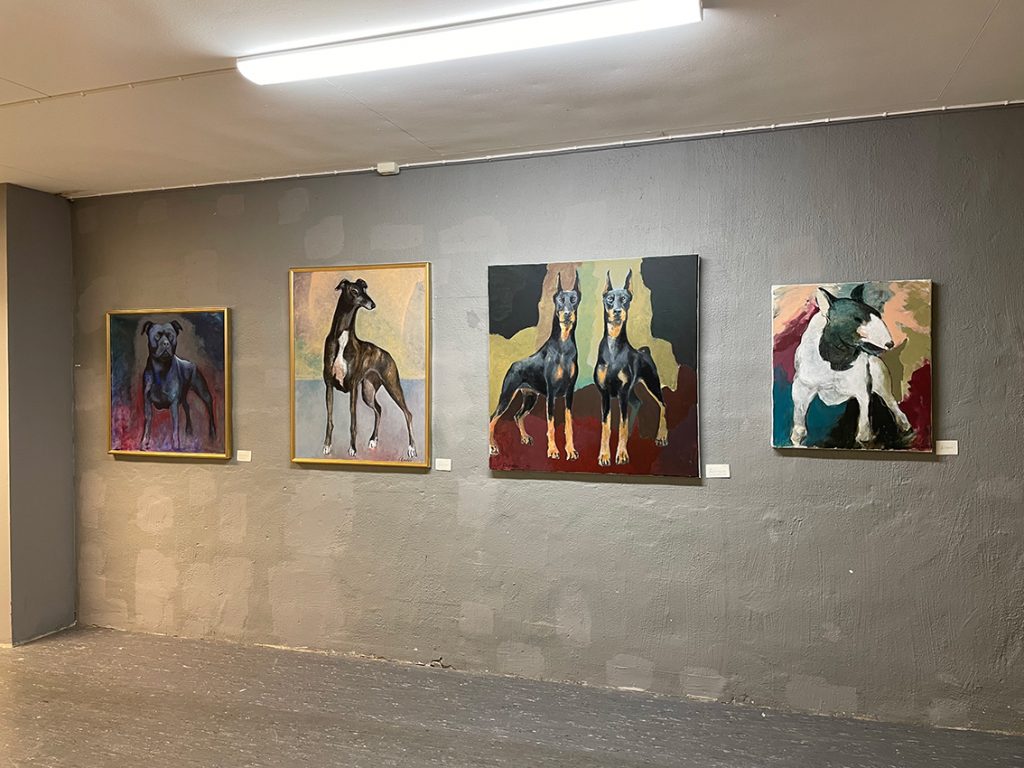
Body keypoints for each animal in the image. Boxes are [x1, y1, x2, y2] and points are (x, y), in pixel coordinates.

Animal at [140, 320, 216, 451]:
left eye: (171, 336)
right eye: (157, 336)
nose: (166, 343)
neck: (161, 369)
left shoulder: (174, 403)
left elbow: (175, 426)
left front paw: (176, 446)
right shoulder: (147, 402)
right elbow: (147, 422)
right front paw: (144, 442)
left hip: (203, 392)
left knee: (209, 406)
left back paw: (212, 433)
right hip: (184, 396)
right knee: (187, 406)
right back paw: (189, 430)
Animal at [323, 277, 417, 459]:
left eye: (364, 290)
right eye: (354, 291)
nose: (372, 304)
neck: (342, 338)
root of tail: (386, 353)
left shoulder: (353, 387)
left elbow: (353, 422)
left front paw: (352, 448)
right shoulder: (329, 385)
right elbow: (329, 420)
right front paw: (327, 445)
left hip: (392, 385)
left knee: (407, 413)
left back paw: (411, 448)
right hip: (368, 391)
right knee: (379, 409)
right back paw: (373, 440)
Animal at [489, 271, 581, 460]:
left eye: (574, 299)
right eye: (560, 300)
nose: (567, 314)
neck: (564, 345)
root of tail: (513, 364)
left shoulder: (569, 393)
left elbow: (568, 424)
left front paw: (570, 450)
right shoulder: (551, 394)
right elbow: (551, 425)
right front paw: (553, 451)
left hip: (531, 396)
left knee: (517, 416)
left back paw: (524, 437)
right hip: (507, 394)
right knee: (493, 418)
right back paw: (493, 446)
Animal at [594, 270, 668, 466]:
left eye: (625, 299)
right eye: (610, 299)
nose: (617, 311)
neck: (613, 347)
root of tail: (644, 351)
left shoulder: (622, 392)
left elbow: (622, 424)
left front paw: (621, 454)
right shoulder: (605, 393)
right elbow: (606, 426)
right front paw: (604, 455)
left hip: (651, 383)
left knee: (662, 405)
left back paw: (662, 436)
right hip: (631, 391)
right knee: (637, 403)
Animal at [790, 285, 912, 447]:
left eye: (878, 315)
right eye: (857, 319)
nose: (890, 344)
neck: (837, 359)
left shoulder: (862, 387)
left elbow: (865, 417)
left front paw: (864, 438)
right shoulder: (801, 385)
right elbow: (799, 412)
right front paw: (797, 437)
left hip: (880, 376)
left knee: (890, 401)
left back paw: (904, 424)